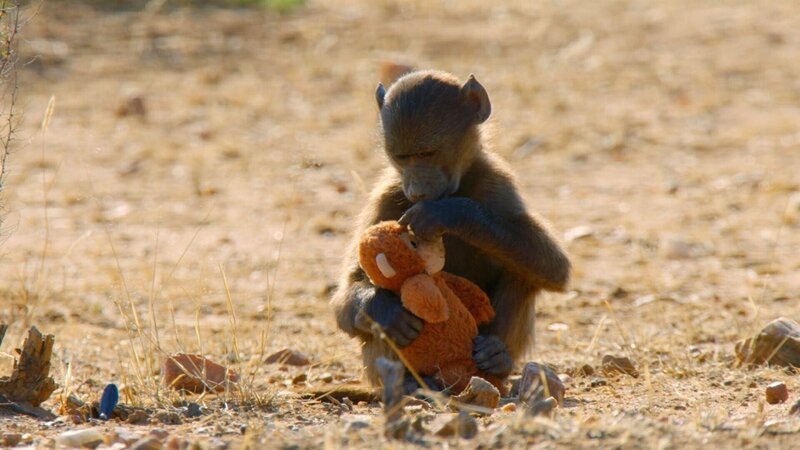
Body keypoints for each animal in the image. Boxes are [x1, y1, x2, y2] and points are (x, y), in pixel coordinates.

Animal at [331, 70, 571, 393]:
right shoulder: (387, 195)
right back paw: (408, 383)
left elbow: (555, 267)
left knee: (521, 272)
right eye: (401, 157)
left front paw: (448, 213)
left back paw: (496, 357)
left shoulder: (496, 182)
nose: (416, 192)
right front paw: (386, 311)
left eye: (428, 152)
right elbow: (346, 293)